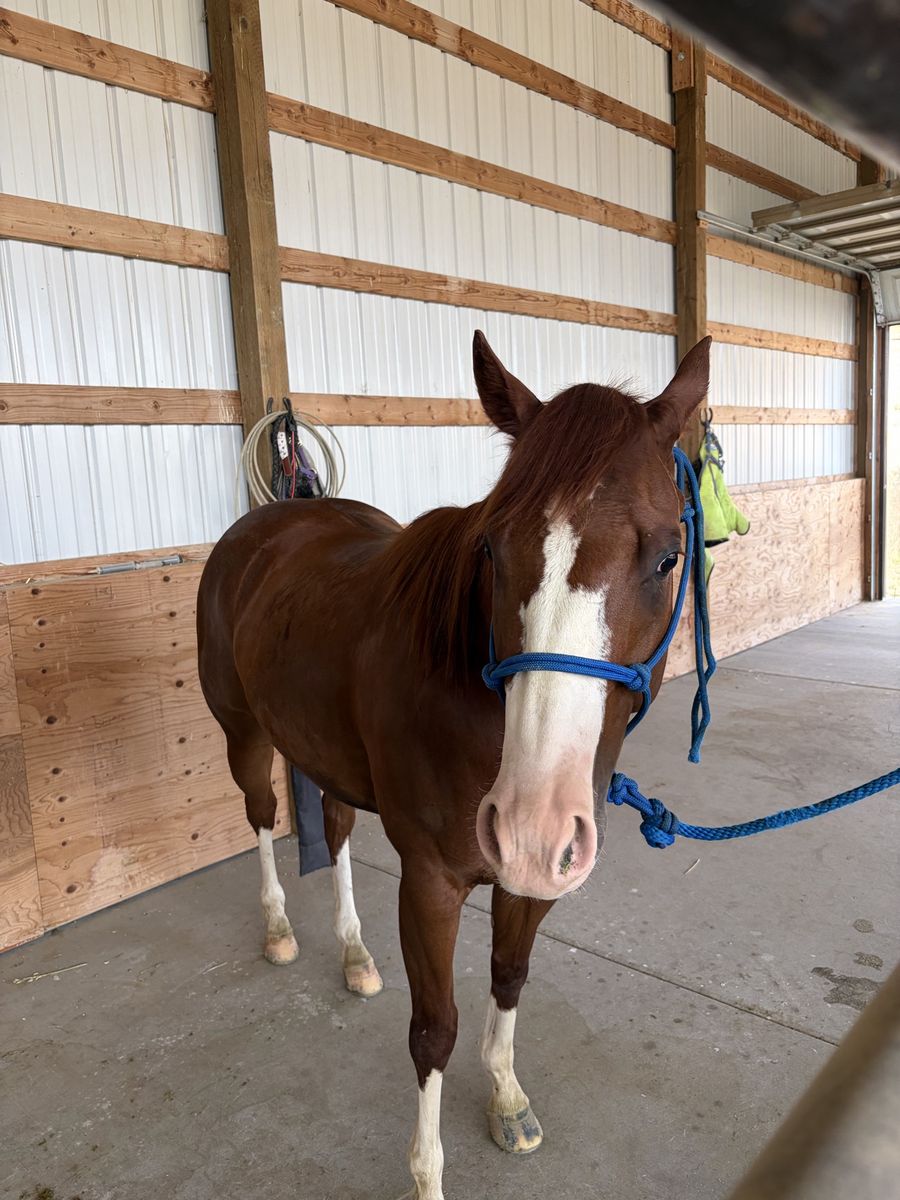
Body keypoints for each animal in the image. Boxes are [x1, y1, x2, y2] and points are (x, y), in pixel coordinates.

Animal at [196, 331, 711, 1199]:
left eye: (671, 557)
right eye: (492, 550)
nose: (534, 822)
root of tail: (270, 518)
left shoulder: (527, 880)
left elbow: (507, 975)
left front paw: (506, 1097)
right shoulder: (431, 883)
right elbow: (434, 1030)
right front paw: (428, 1174)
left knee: (335, 828)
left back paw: (354, 955)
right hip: (245, 735)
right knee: (263, 818)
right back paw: (278, 930)